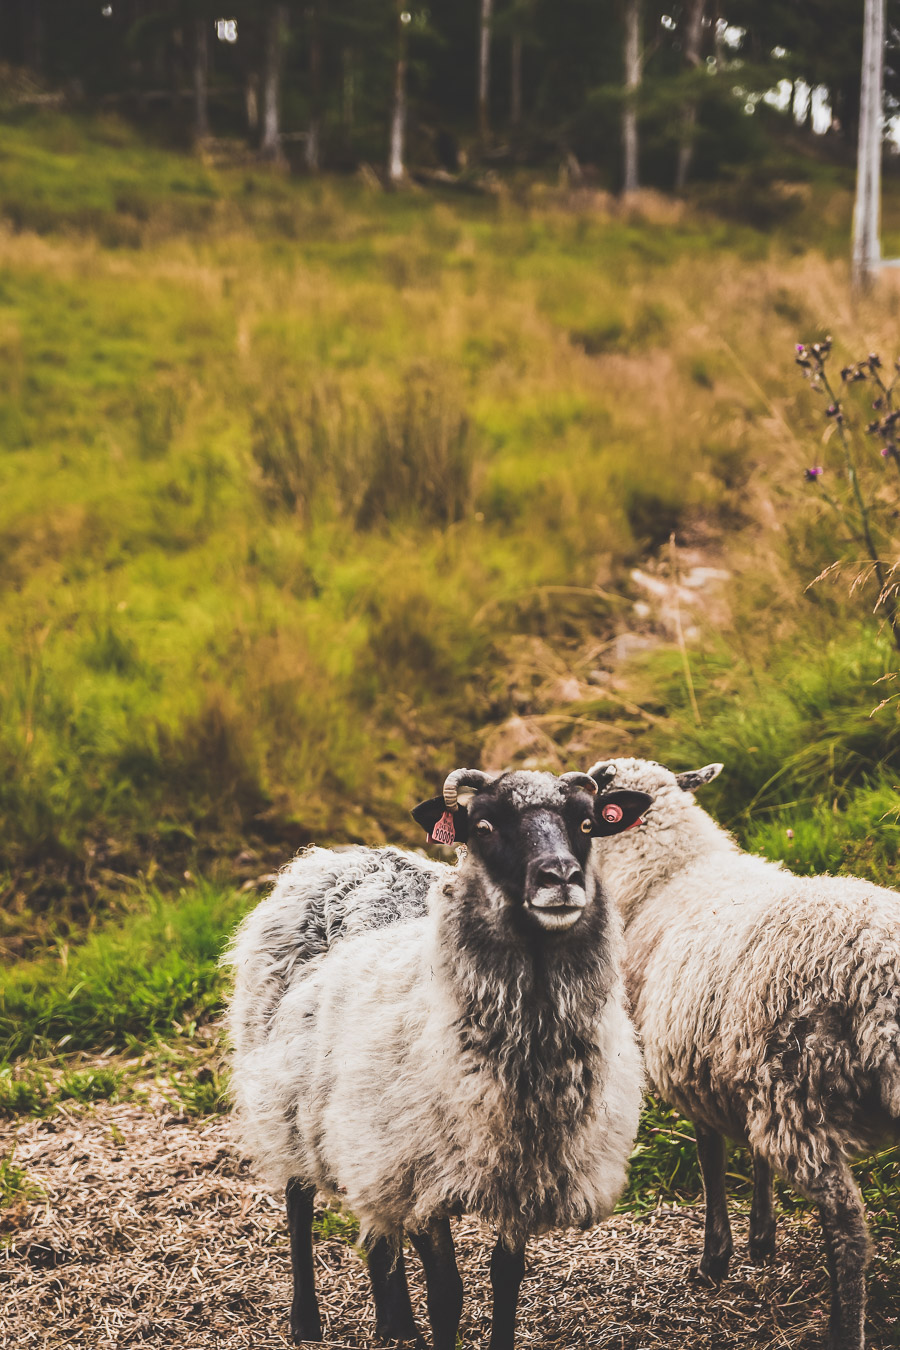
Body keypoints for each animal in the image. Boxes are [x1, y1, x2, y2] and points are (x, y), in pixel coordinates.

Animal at [223, 772, 647, 1350]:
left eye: (586, 824)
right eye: (483, 826)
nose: (561, 877)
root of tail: (338, 855)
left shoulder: (520, 1175)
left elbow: (506, 1277)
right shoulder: (418, 1170)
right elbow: (448, 1293)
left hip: (359, 1132)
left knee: (378, 1225)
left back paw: (396, 1325)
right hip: (288, 1098)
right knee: (298, 1200)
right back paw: (306, 1321)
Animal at [588, 756, 900, 1350]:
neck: (670, 876)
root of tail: (882, 973)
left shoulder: (694, 1072)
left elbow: (711, 1160)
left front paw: (715, 1259)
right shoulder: (735, 1067)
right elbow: (754, 1158)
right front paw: (761, 1239)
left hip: (799, 1094)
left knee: (849, 1232)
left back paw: (844, 1328)